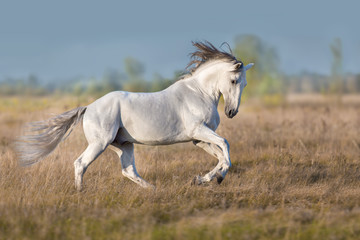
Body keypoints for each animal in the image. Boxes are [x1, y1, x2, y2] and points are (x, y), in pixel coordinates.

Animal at [16, 41, 253, 191]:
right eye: (234, 81)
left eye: (245, 84)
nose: (231, 112)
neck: (199, 93)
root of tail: (89, 107)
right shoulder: (199, 131)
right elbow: (225, 146)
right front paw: (215, 178)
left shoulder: (198, 139)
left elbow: (221, 156)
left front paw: (204, 179)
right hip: (100, 143)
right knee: (80, 163)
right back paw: (80, 193)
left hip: (124, 145)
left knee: (129, 171)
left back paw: (154, 189)